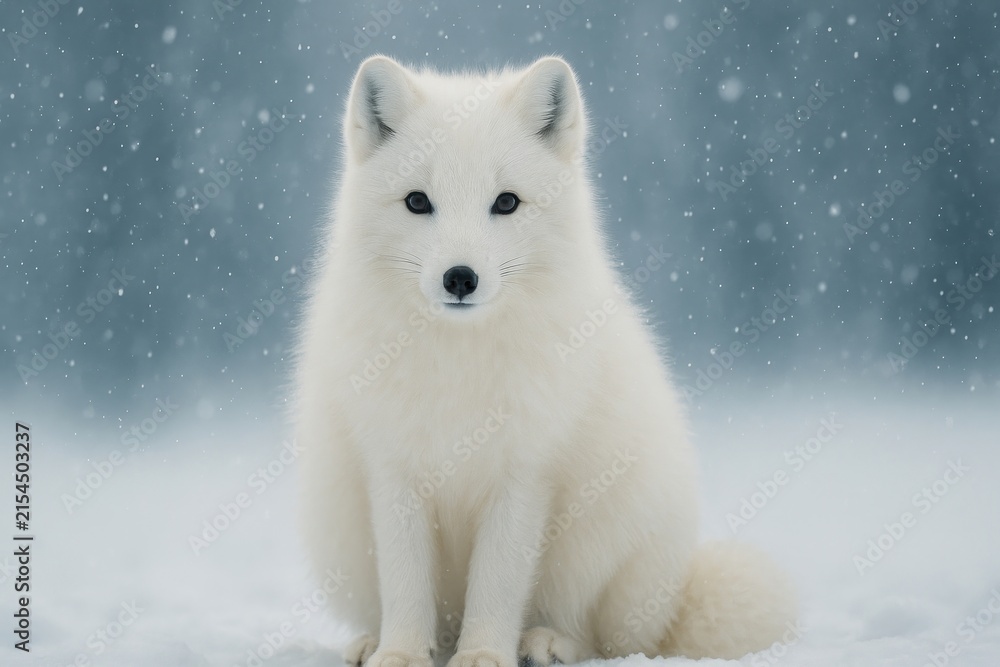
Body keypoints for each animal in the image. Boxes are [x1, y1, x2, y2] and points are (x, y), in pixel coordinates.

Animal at [294, 54, 797, 667]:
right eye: (417, 201)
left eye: (506, 202)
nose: (460, 278)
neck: (460, 368)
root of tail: (672, 602)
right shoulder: (393, 468)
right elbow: (407, 584)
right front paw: (403, 654)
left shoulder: (525, 474)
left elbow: (497, 585)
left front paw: (483, 655)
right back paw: (374, 643)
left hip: (600, 548)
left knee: (601, 640)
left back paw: (546, 643)